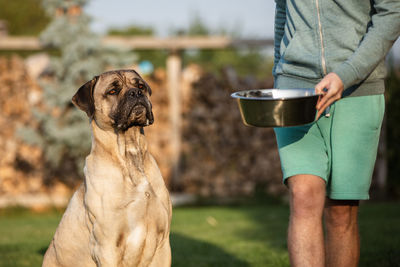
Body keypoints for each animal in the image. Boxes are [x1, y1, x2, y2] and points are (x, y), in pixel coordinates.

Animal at [42, 69, 172, 267]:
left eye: (141, 86)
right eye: (112, 91)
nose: (136, 93)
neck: (129, 154)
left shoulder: (163, 243)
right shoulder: (106, 245)